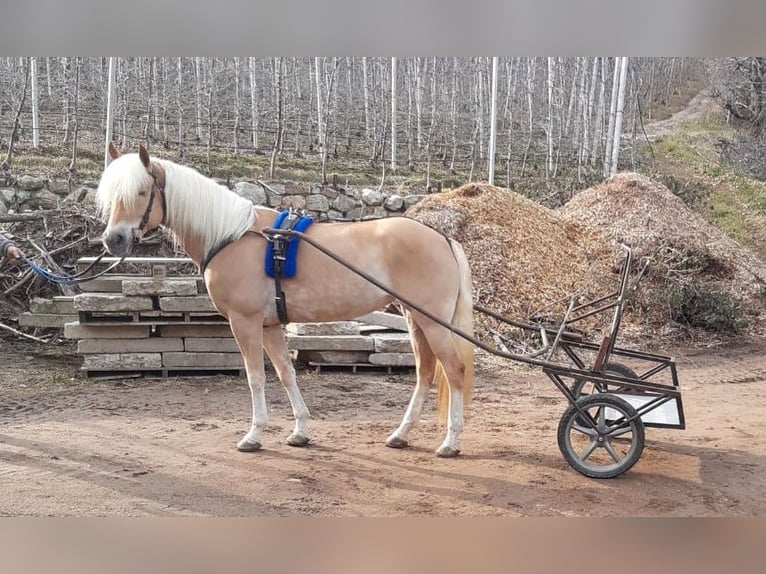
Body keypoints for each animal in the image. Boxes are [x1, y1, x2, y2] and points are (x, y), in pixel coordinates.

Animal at [99, 144, 476, 460]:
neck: (234, 236)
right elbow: (285, 373)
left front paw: (253, 435)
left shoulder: (245, 322)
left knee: (453, 370)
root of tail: (442, 237)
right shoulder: (270, 325)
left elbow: (255, 377)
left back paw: (450, 442)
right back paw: (400, 434)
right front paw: (300, 431)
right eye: (111, 195)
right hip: (415, 319)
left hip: (432, 322)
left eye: (141, 191)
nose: (113, 239)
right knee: (425, 372)